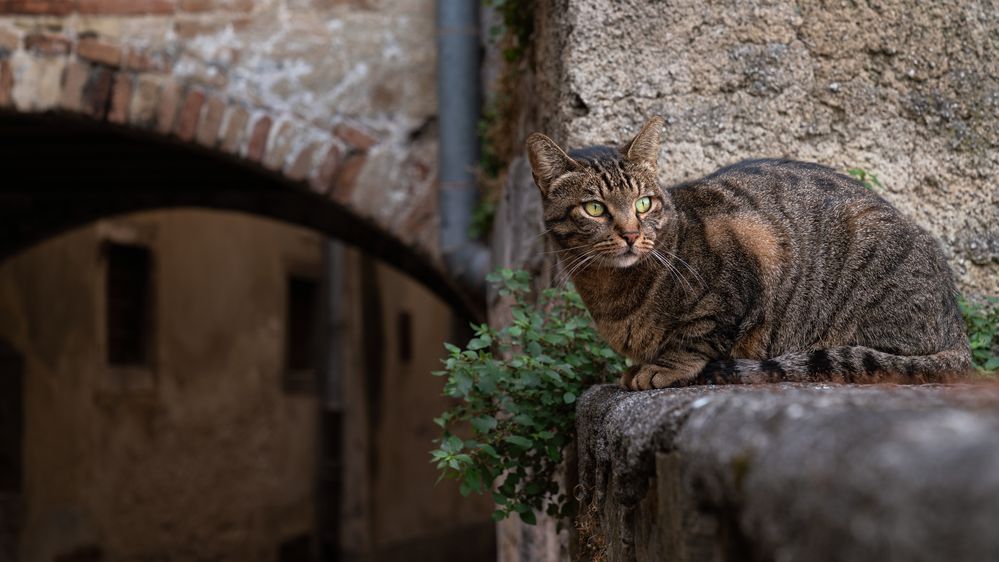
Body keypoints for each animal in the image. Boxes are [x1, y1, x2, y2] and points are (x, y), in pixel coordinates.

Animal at [528, 117, 972, 390]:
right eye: (594, 208)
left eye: (643, 203)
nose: (632, 234)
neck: (610, 290)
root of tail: (958, 331)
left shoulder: (748, 255)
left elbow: (697, 336)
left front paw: (663, 368)